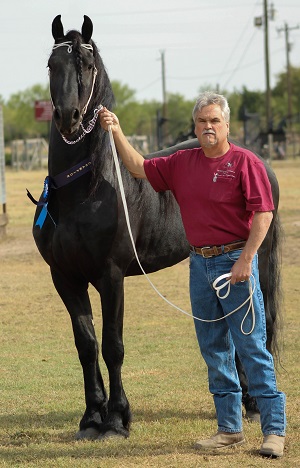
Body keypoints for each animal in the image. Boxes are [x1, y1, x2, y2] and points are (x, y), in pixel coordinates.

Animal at [31, 14, 282, 438]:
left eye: (87, 64)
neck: (83, 192)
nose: (69, 119)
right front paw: (91, 417)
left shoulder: (111, 276)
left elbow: (113, 345)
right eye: (52, 65)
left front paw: (117, 419)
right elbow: (86, 345)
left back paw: (252, 403)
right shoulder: (64, 277)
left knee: (253, 329)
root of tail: (259, 161)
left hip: (254, 264)